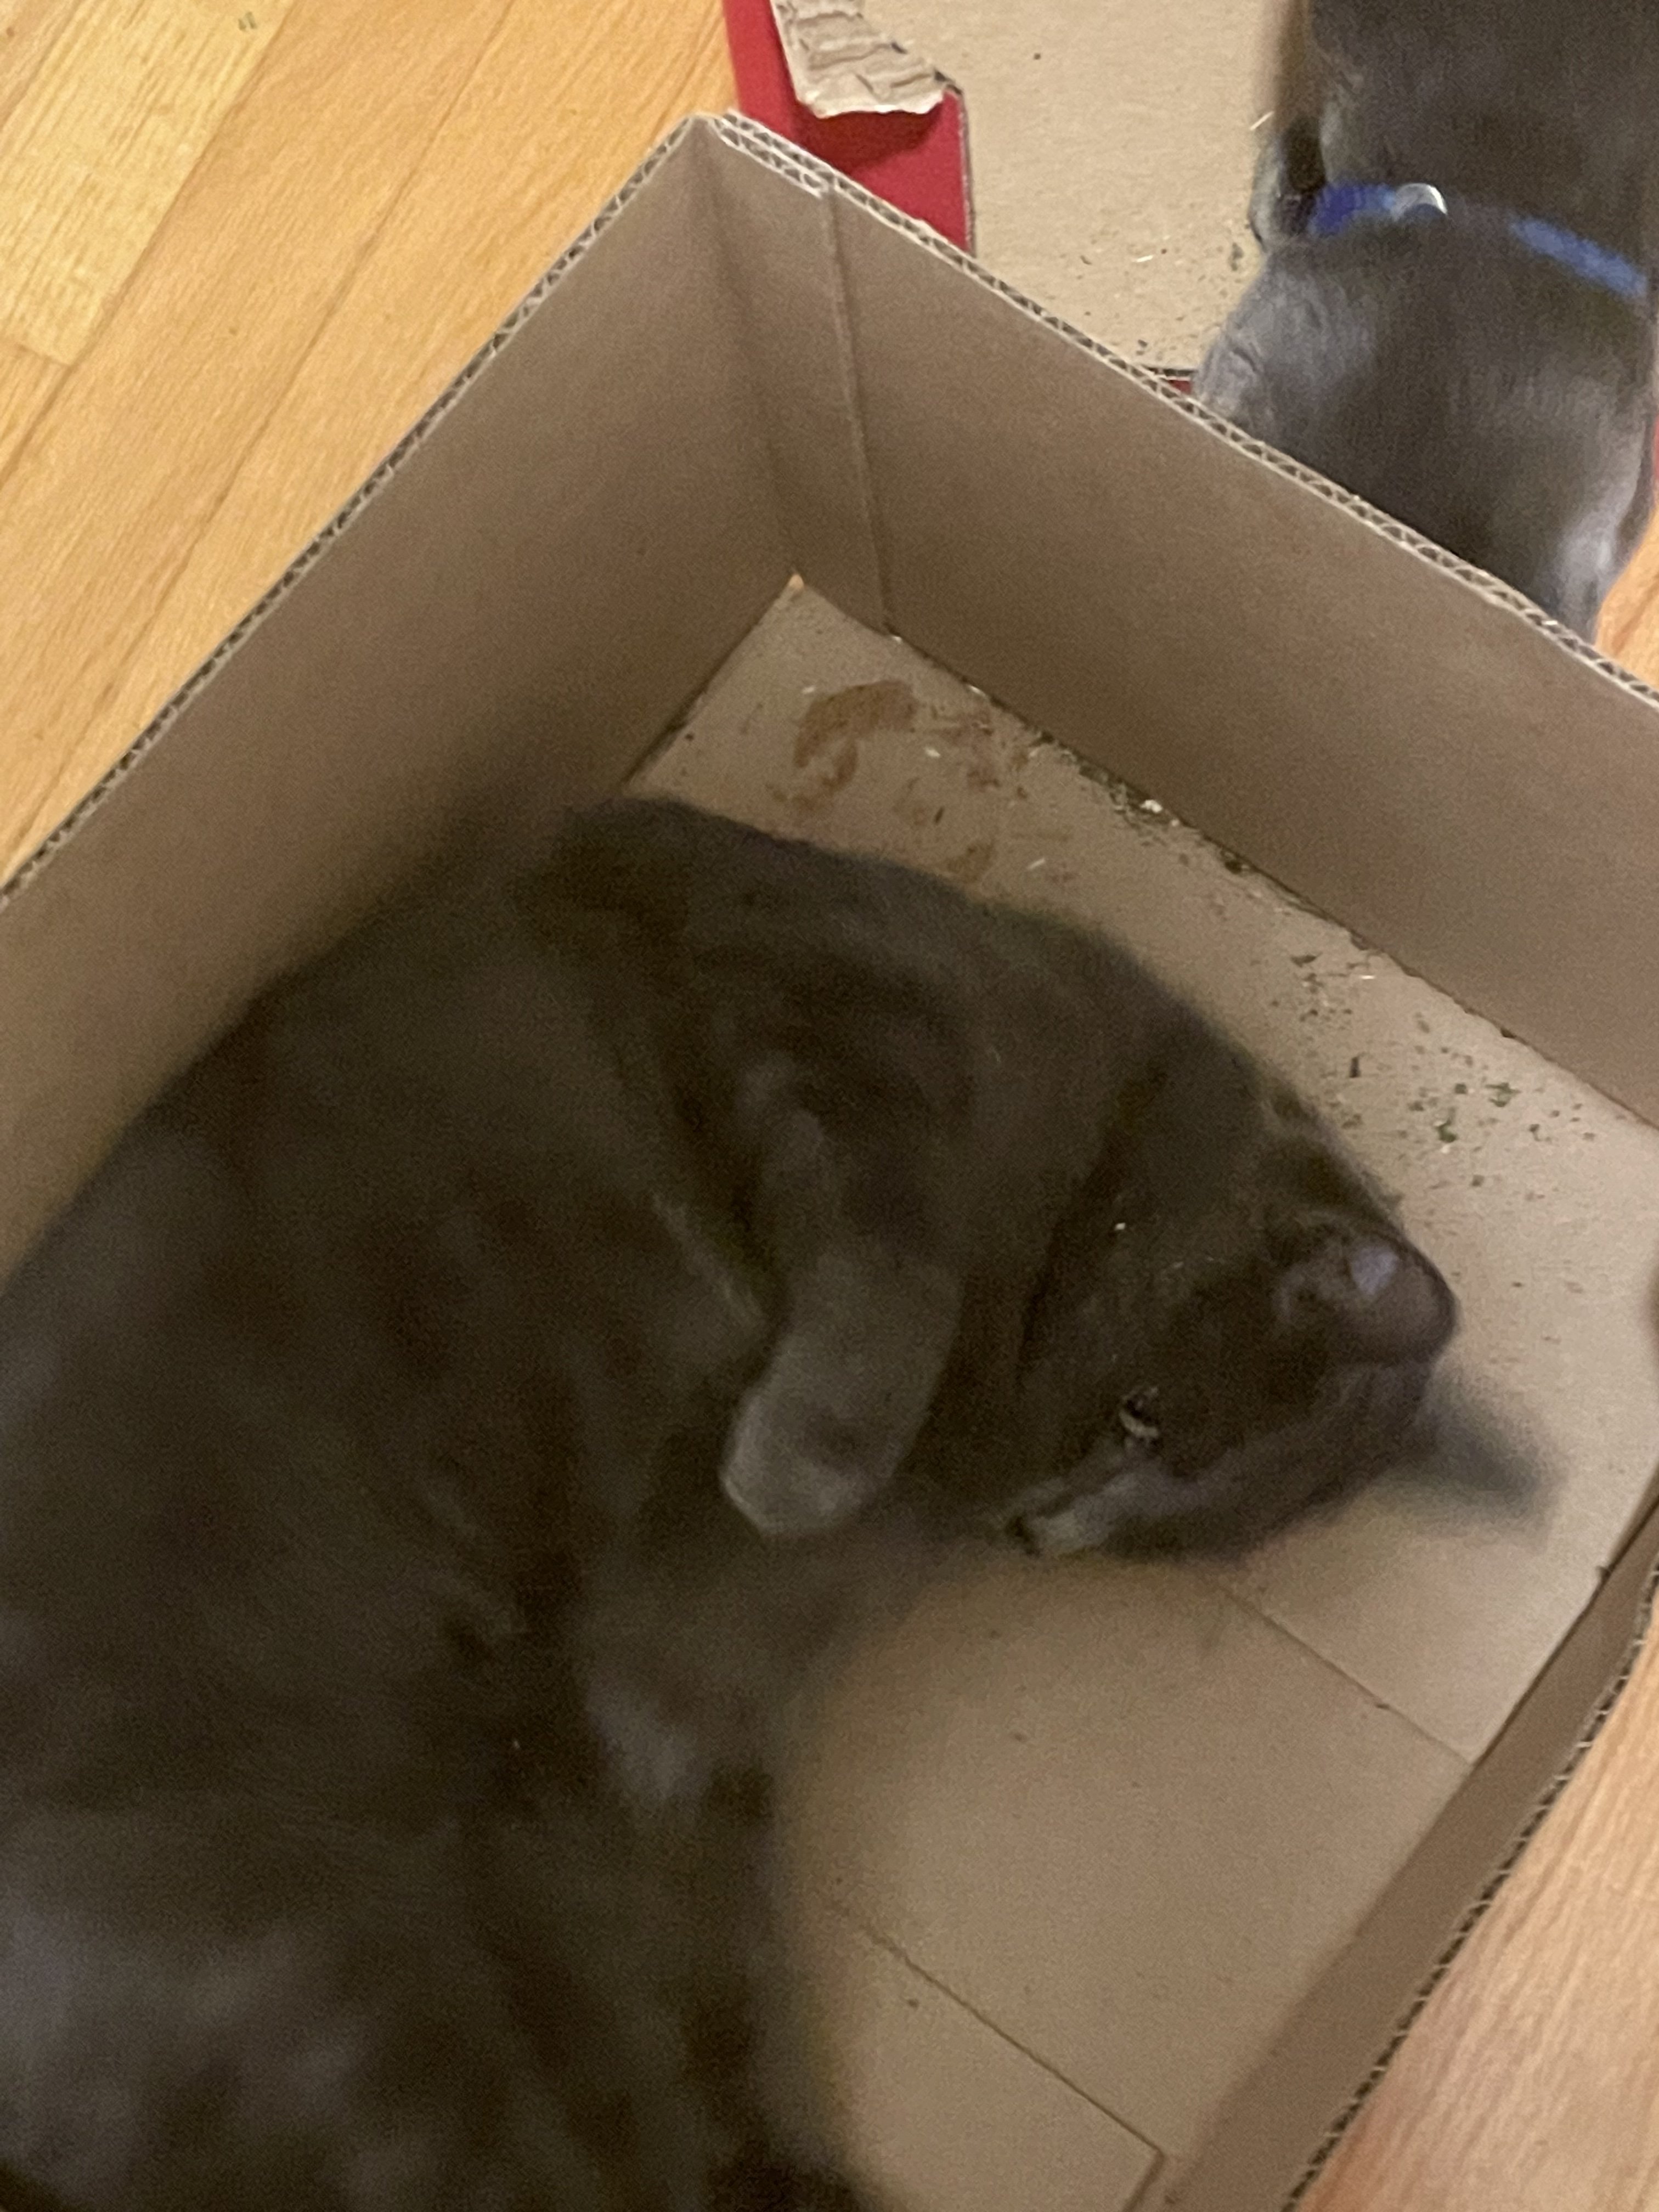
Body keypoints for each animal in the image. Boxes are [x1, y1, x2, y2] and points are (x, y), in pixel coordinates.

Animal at [0, 794, 1456, 2209]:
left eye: (1160, 1539)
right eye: (1146, 1419)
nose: (1048, 1523)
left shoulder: (680, 1710)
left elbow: (717, 1976)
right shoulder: (797, 1003)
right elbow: (891, 1259)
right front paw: (795, 1470)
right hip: (325, 1984)